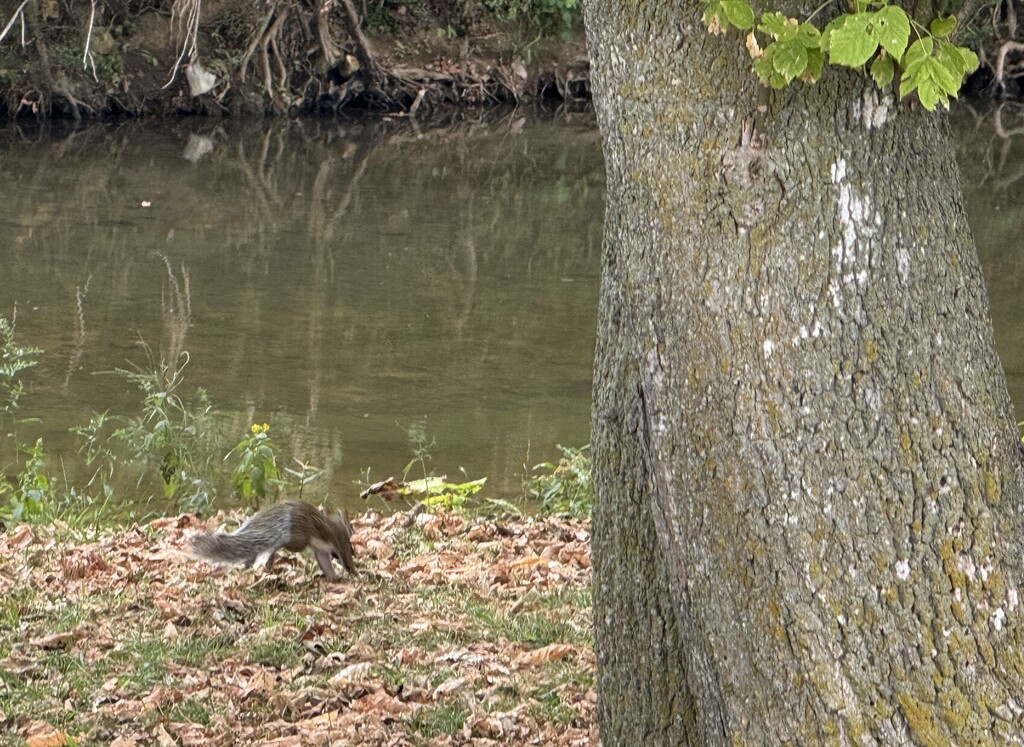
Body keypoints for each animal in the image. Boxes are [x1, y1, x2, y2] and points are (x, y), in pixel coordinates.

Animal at [190, 501, 357, 581]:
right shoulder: (340, 544)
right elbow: (344, 560)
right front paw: (352, 573)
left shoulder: (322, 550)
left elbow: (326, 564)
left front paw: (335, 577)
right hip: (298, 539)